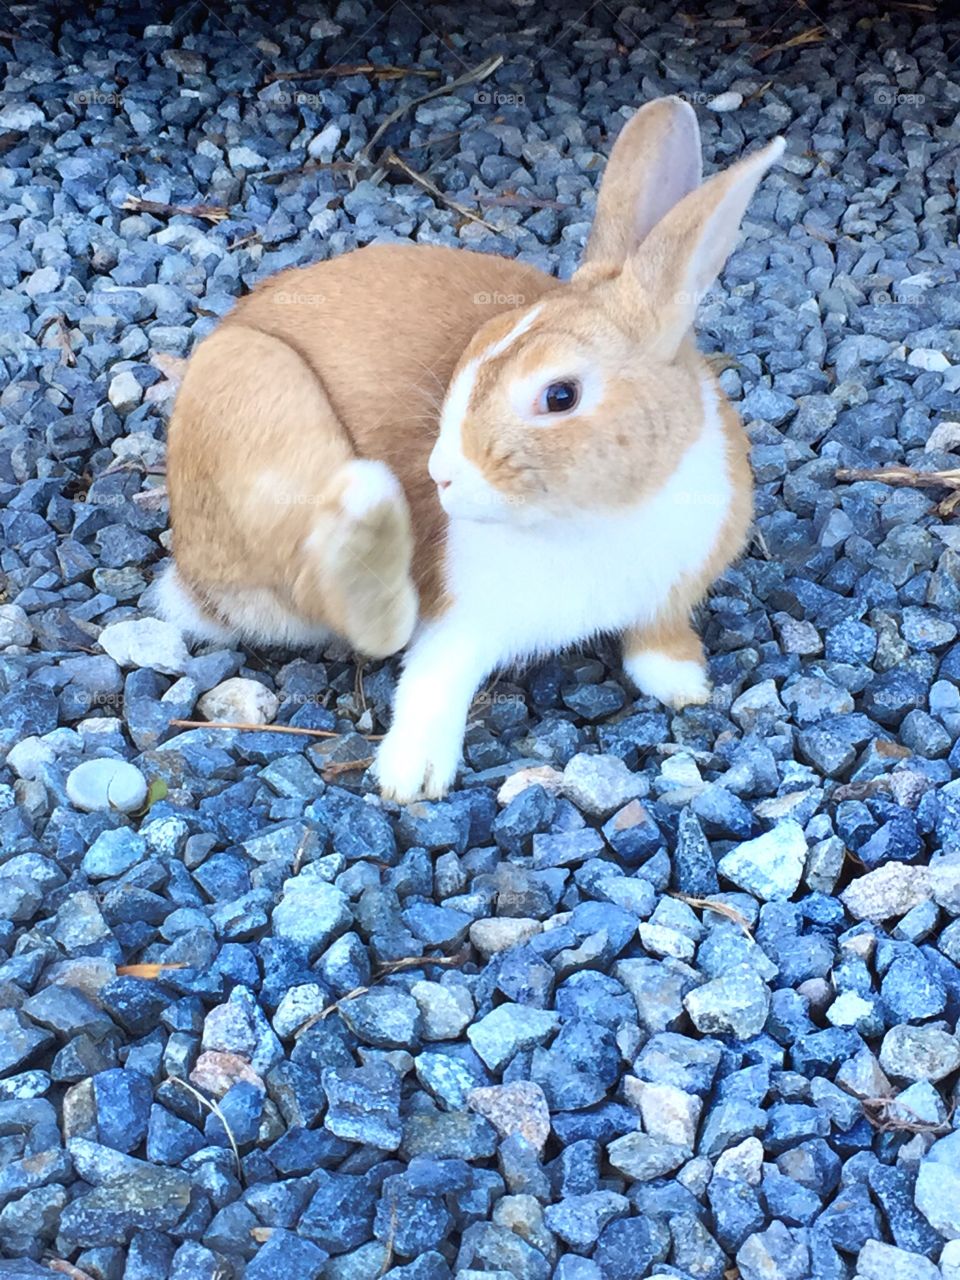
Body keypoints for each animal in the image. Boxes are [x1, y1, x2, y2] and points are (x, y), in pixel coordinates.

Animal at [159, 95, 785, 803]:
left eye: (560, 396)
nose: (442, 478)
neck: (606, 513)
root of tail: (192, 578)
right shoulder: (460, 621)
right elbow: (432, 680)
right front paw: (412, 776)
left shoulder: (669, 596)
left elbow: (656, 639)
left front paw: (683, 684)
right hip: (258, 405)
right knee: (335, 593)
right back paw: (370, 518)